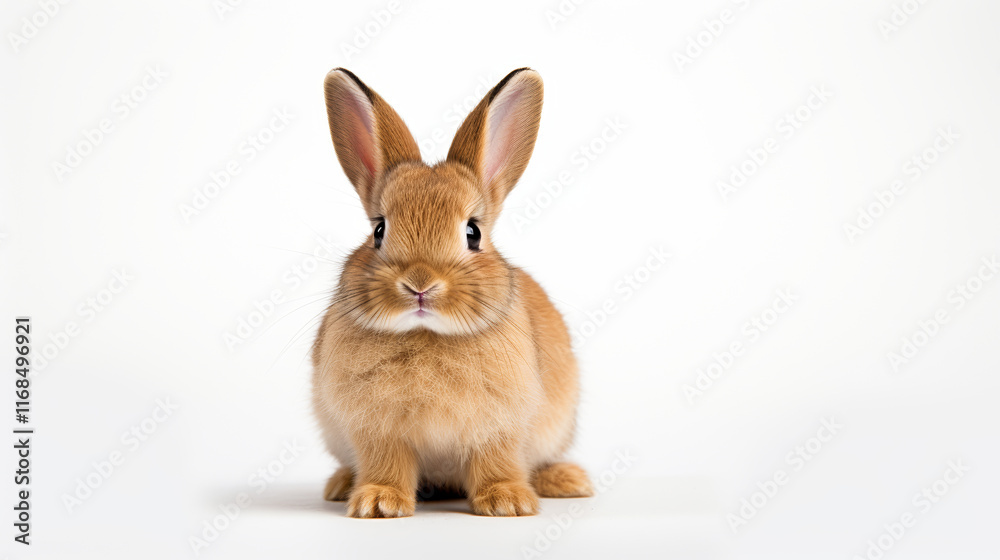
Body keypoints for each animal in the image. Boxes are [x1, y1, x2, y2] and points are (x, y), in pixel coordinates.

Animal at [311, 67, 592, 518]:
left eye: (472, 232)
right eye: (379, 230)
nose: (420, 284)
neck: (427, 334)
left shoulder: (499, 427)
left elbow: (496, 460)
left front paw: (507, 502)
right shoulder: (377, 431)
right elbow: (386, 463)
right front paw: (378, 502)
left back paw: (567, 481)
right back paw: (339, 485)